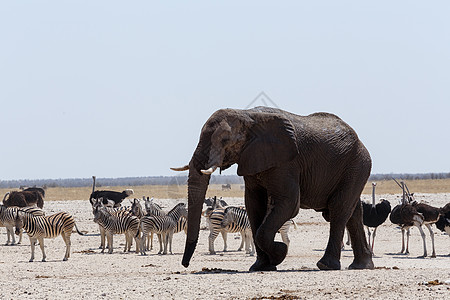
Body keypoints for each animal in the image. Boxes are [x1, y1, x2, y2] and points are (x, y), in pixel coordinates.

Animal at [171, 107, 372, 272]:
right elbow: (253, 204)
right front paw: (261, 266)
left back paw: (326, 265)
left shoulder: (287, 162)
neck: (247, 115)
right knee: (353, 212)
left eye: (225, 140)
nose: (185, 264)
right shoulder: (251, 158)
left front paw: (281, 252)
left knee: (339, 209)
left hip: (357, 164)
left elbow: (289, 203)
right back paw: (361, 265)